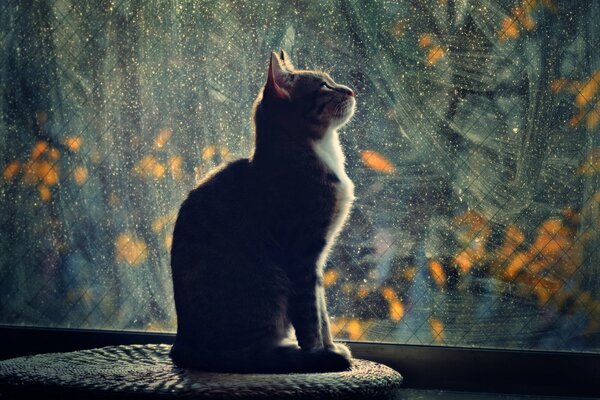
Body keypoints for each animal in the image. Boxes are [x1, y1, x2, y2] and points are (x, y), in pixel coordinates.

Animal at [169, 50, 356, 376]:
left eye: (331, 82)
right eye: (324, 86)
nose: (351, 91)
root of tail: (182, 348)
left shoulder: (317, 262)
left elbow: (322, 314)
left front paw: (329, 346)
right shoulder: (303, 258)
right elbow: (310, 318)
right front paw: (319, 355)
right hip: (271, 284)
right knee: (255, 356)